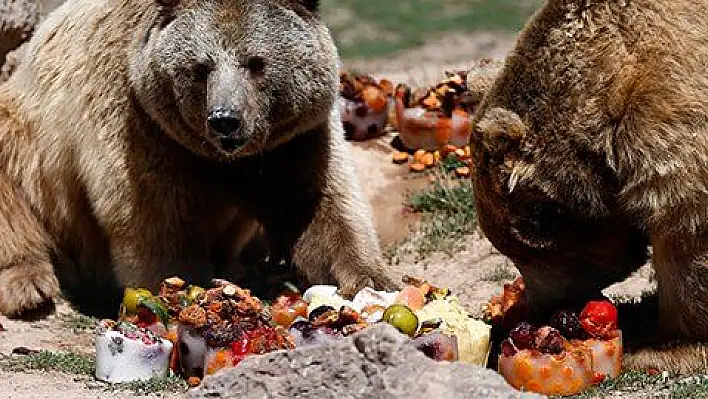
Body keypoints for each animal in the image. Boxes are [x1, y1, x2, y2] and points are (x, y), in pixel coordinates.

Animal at [0, 0, 398, 320]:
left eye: (256, 63)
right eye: (201, 66)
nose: (225, 119)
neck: (223, 158)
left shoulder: (293, 138)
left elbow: (318, 204)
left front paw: (373, 281)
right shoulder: (143, 127)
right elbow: (157, 225)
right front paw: (187, 290)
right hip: (27, 137)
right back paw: (30, 285)